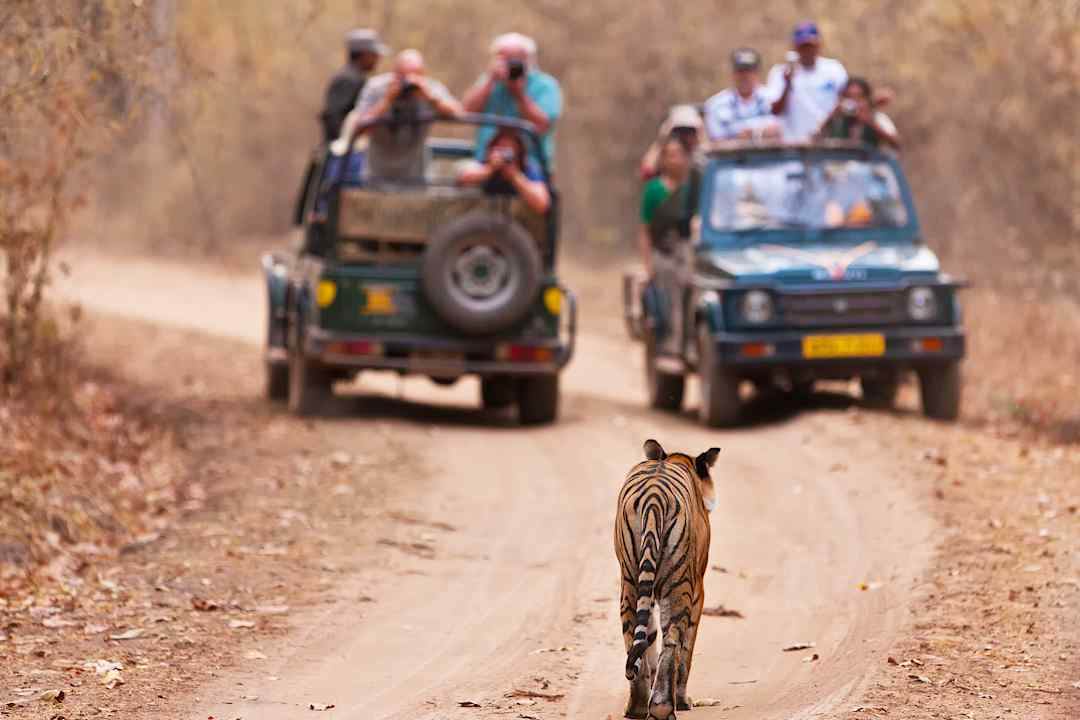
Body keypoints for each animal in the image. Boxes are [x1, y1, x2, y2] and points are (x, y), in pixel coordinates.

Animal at [614, 439, 720, 720]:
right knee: (673, 641)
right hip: (678, 584)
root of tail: (654, 497)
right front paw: (683, 701)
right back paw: (664, 707)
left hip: (630, 581)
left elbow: (648, 641)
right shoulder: (698, 590)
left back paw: (637, 707)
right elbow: (686, 650)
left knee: (633, 636)